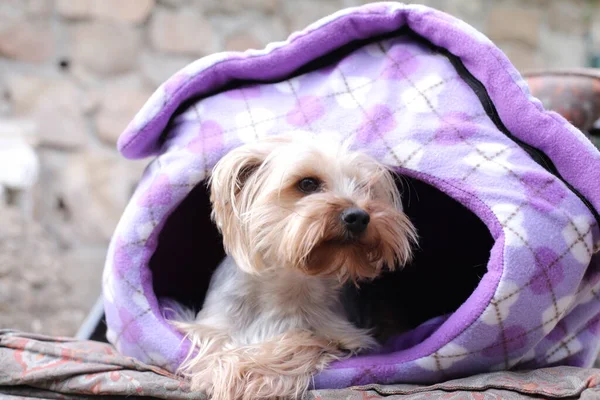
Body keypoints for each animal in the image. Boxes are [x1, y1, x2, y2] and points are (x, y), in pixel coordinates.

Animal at [166, 135, 414, 400]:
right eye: (307, 183)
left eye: (366, 188)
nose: (358, 216)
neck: (290, 278)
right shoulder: (212, 323)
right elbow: (216, 341)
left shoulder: (338, 333)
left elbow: (298, 340)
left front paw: (251, 375)